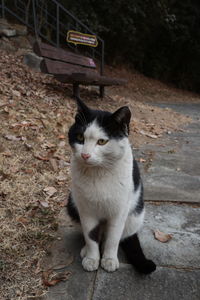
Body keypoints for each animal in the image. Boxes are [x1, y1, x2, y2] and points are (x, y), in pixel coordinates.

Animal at [67, 96, 156, 274]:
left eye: (102, 141)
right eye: (80, 137)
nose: (85, 155)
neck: (98, 174)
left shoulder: (119, 211)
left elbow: (113, 238)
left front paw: (109, 259)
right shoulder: (86, 210)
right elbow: (90, 236)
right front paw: (92, 258)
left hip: (135, 215)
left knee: (119, 235)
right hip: (71, 201)